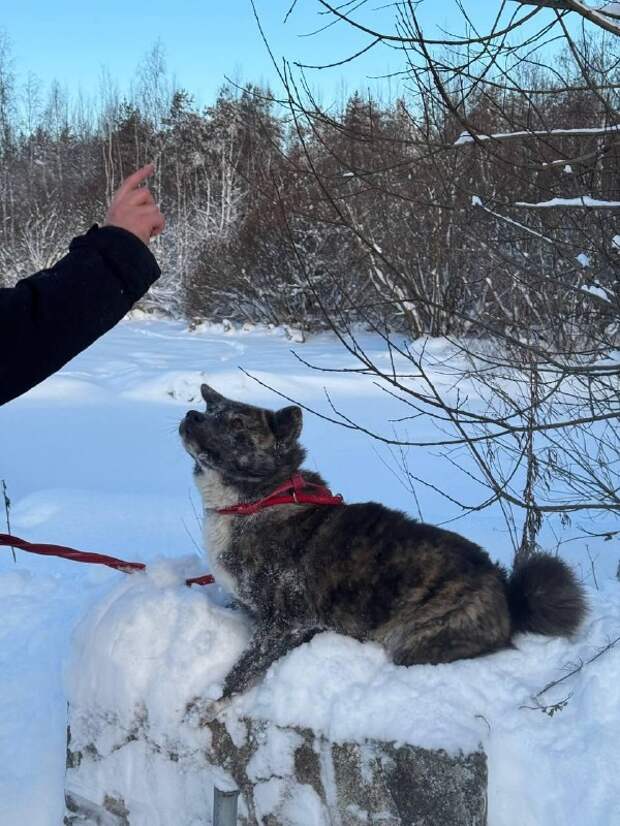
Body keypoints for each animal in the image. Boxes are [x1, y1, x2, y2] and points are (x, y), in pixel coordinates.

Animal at [179, 384, 588, 700]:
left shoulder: (286, 624)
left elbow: (241, 672)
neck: (258, 500)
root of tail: (506, 592)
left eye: (237, 422)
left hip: (416, 639)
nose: (191, 416)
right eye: (210, 409)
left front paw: (208, 704)